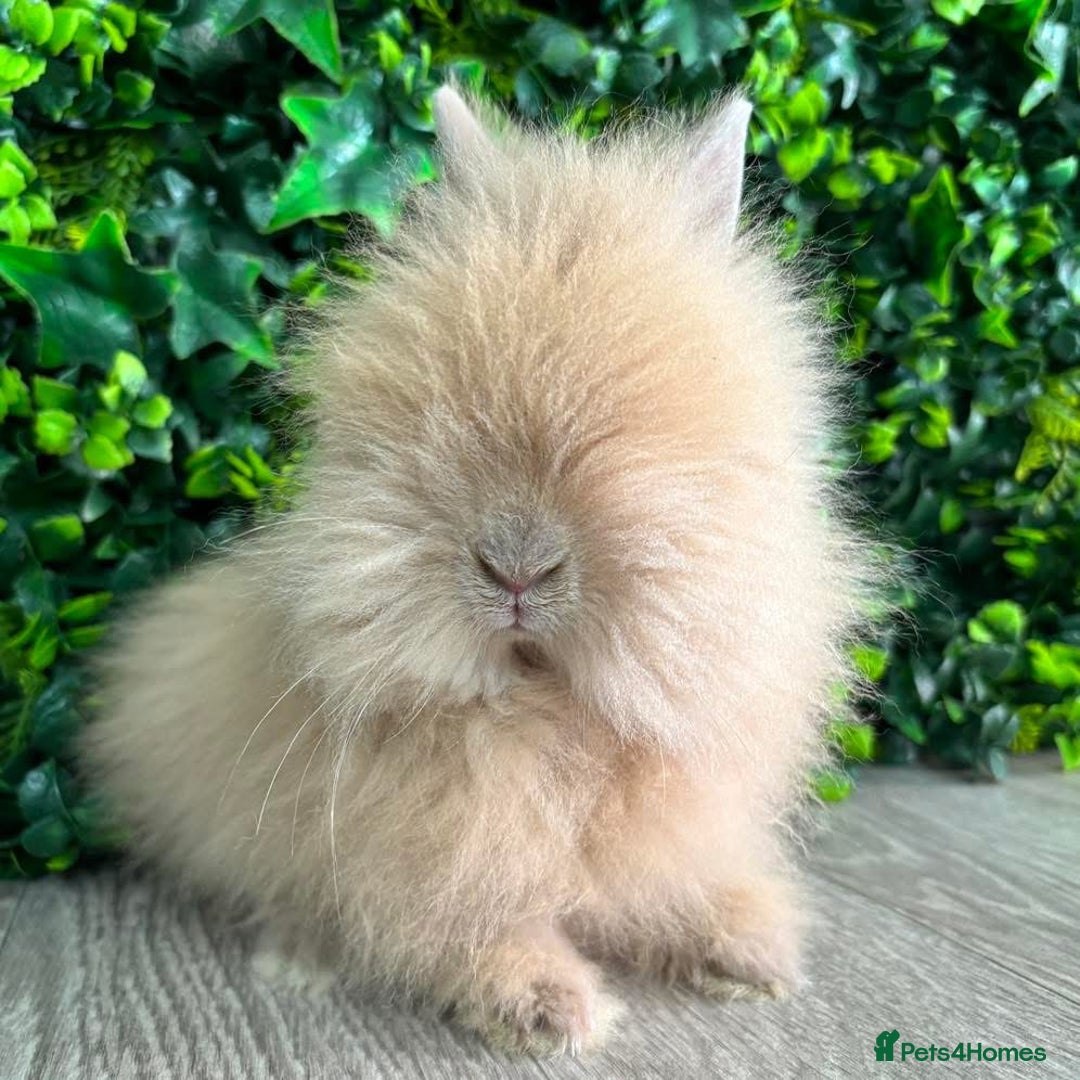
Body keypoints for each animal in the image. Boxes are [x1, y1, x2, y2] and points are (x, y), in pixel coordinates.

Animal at [81, 86, 873, 1056]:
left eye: (658, 434)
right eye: (431, 423)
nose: (517, 566)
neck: (544, 705)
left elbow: (680, 882)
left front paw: (754, 953)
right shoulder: (419, 854)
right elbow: (470, 921)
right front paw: (551, 1009)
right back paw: (300, 961)